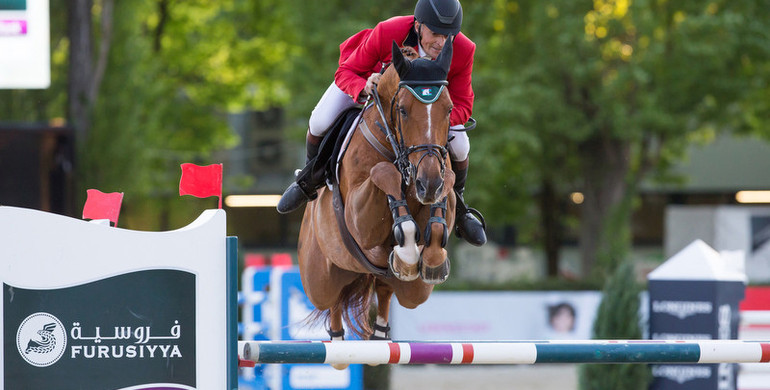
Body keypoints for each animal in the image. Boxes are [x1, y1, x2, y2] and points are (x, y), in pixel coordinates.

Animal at [296, 38, 456, 356]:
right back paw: (338, 343)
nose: (428, 183)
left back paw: (382, 332)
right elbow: (383, 171)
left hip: (410, 291)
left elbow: (449, 186)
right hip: (319, 279)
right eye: (403, 110)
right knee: (333, 299)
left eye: (448, 109)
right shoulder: (359, 221)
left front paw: (427, 257)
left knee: (385, 288)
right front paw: (407, 246)